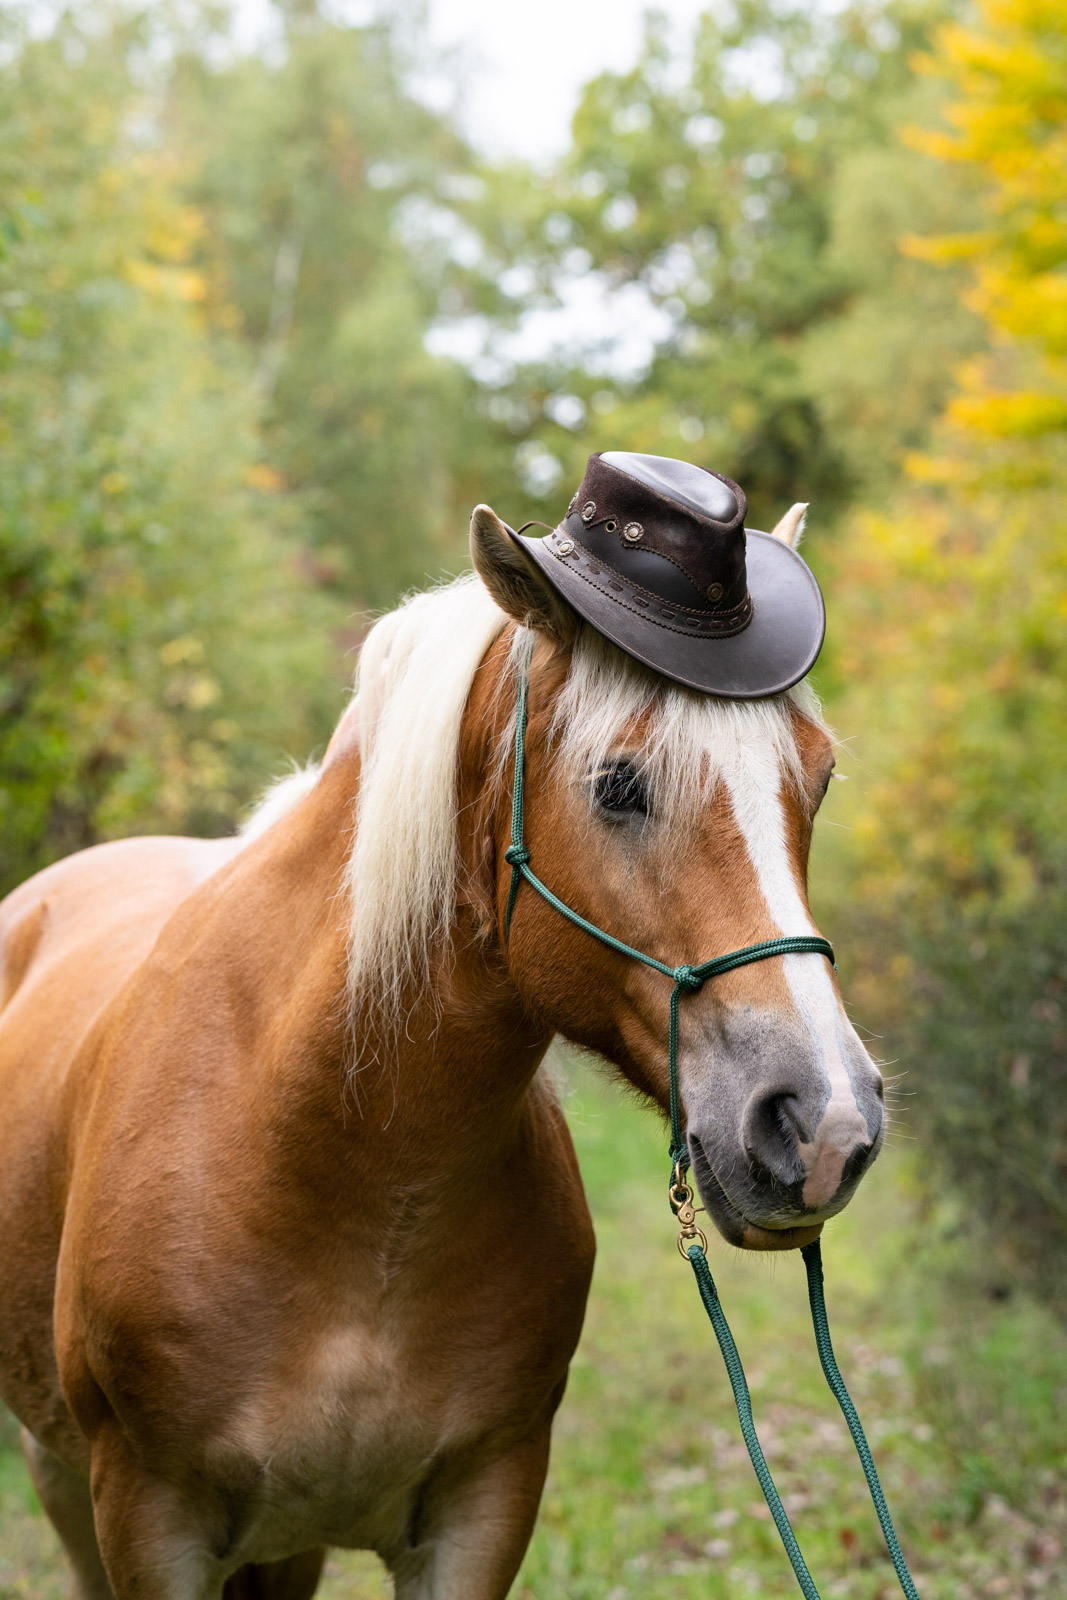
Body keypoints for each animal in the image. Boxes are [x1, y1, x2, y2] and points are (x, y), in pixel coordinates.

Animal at [0, 501, 885, 1598]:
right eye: (617, 783)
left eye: (818, 778)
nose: (826, 1122)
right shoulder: (146, 1520)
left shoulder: (481, 1510)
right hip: (65, 1479)